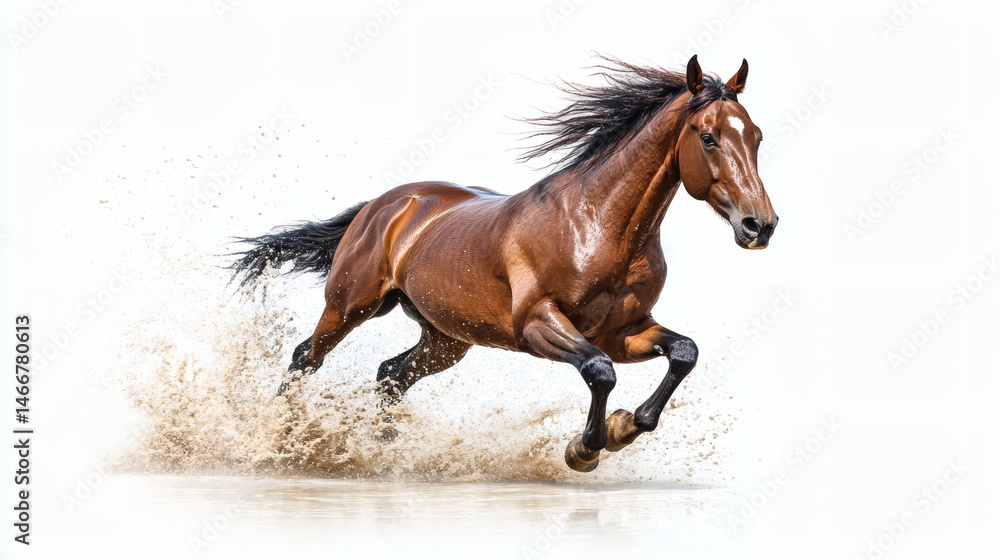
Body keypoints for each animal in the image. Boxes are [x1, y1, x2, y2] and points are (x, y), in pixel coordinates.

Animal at [230, 55, 778, 472]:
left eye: (755, 136)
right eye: (707, 137)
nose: (760, 226)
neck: (599, 226)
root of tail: (386, 203)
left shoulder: (623, 331)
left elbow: (683, 352)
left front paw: (625, 426)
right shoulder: (538, 324)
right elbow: (600, 372)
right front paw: (585, 449)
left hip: (446, 338)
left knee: (390, 375)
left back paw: (382, 452)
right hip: (350, 306)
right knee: (306, 359)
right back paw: (278, 441)